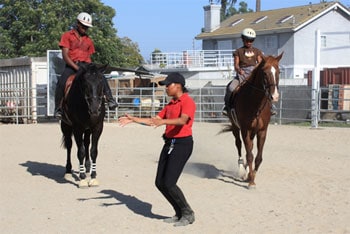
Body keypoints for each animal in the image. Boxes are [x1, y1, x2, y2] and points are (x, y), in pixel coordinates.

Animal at [226, 52, 284, 188]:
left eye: (278, 72)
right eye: (264, 73)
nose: (274, 96)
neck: (255, 103)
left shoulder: (262, 131)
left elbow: (258, 157)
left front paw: (251, 176)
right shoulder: (245, 130)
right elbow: (249, 155)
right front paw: (251, 180)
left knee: (250, 147)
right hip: (235, 127)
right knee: (239, 144)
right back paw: (242, 168)